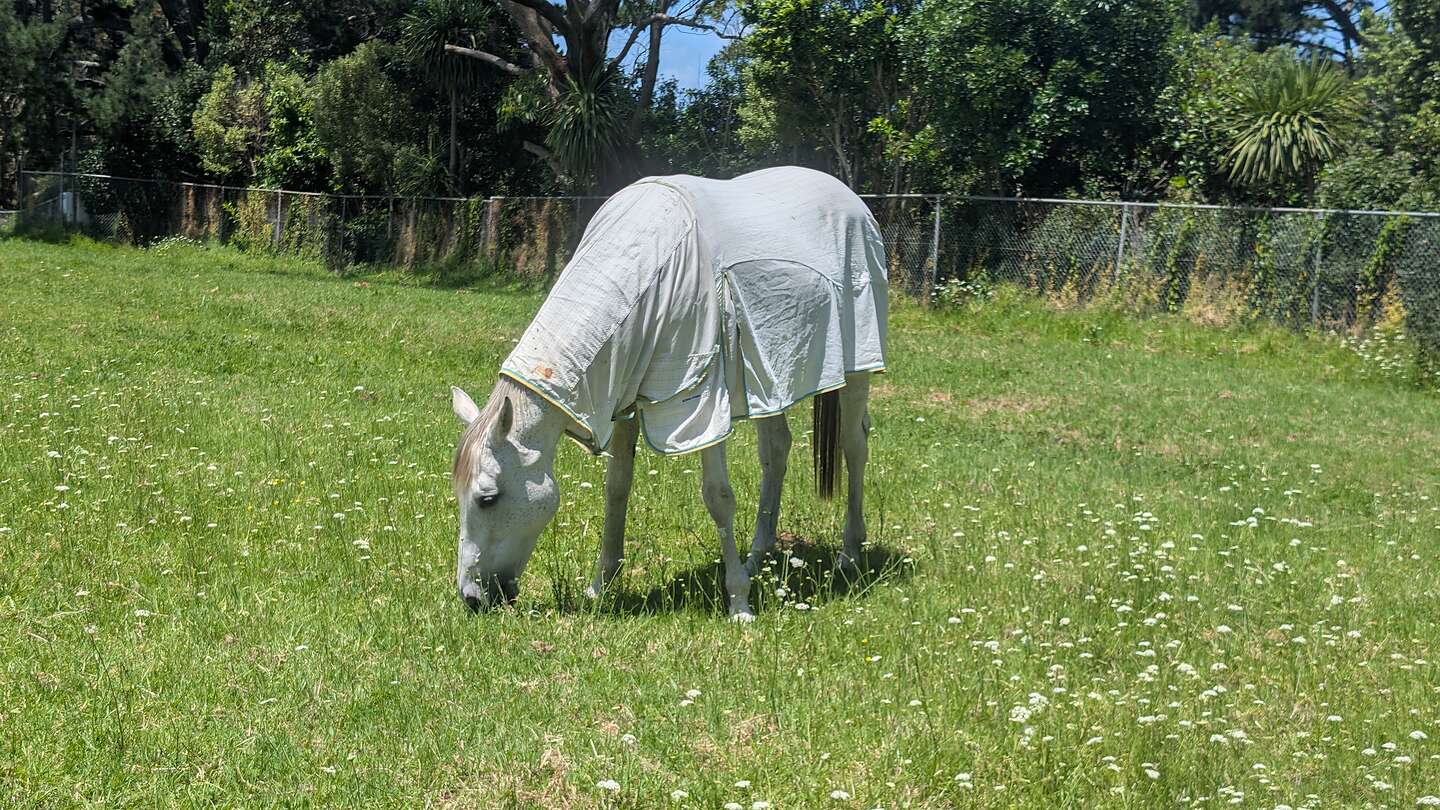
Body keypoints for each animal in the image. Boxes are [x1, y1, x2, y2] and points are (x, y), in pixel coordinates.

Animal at [449, 166, 888, 621]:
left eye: (487, 498)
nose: (472, 598)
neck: (643, 270)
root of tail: (850, 199)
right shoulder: (623, 399)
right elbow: (617, 488)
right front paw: (600, 586)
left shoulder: (705, 403)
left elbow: (718, 497)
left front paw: (739, 603)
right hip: (770, 383)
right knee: (776, 450)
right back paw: (758, 554)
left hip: (858, 363)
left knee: (855, 447)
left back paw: (850, 555)